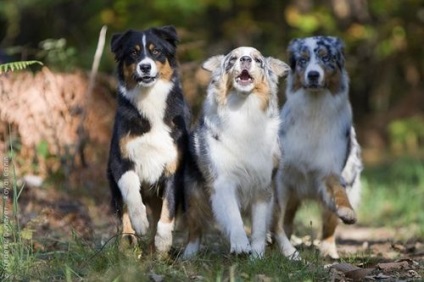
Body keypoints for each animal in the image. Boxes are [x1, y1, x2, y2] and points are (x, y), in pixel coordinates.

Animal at [107, 25, 190, 256]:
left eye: (156, 51)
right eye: (133, 53)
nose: (145, 67)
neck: (149, 99)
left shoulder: (174, 166)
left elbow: (168, 209)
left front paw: (163, 241)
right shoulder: (119, 160)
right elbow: (131, 189)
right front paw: (140, 221)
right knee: (124, 215)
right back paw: (129, 243)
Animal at [181, 46, 288, 260]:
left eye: (258, 60)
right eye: (232, 59)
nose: (246, 59)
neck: (243, 111)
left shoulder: (263, 187)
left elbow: (259, 228)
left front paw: (256, 256)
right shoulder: (222, 182)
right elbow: (233, 215)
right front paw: (240, 244)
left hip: (277, 197)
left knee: (278, 228)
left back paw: (292, 254)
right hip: (194, 194)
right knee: (195, 229)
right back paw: (189, 255)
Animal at [274, 37, 362, 260]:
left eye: (326, 58)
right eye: (303, 60)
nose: (313, 74)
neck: (314, 111)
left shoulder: (329, 169)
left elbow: (339, 192)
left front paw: (347, 210)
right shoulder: (282, 178)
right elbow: (277, 216)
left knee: (328, 228)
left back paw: (329, 251)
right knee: (287, 219)